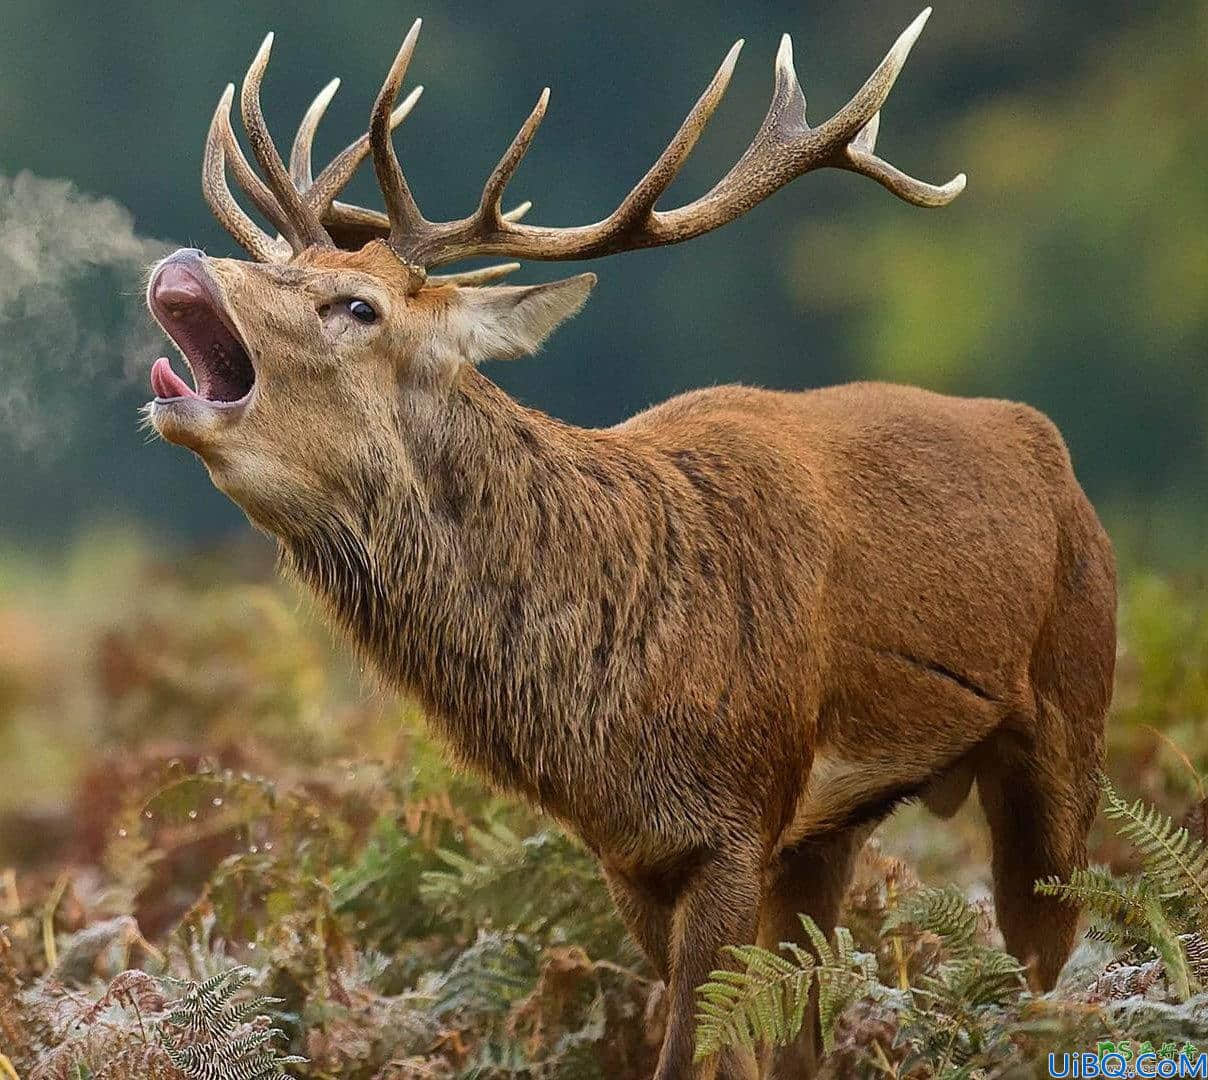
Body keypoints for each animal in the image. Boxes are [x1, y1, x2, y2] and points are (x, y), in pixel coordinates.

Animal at [146, 10, 1116, 1080]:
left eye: (358, 306)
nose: (185, 264)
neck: (612, 709)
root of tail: (1050, 449)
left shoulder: (736, 821)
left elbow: (695, 1051)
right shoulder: (629, 852)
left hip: (1070, 721)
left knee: (1044, 977)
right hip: (829, 832)